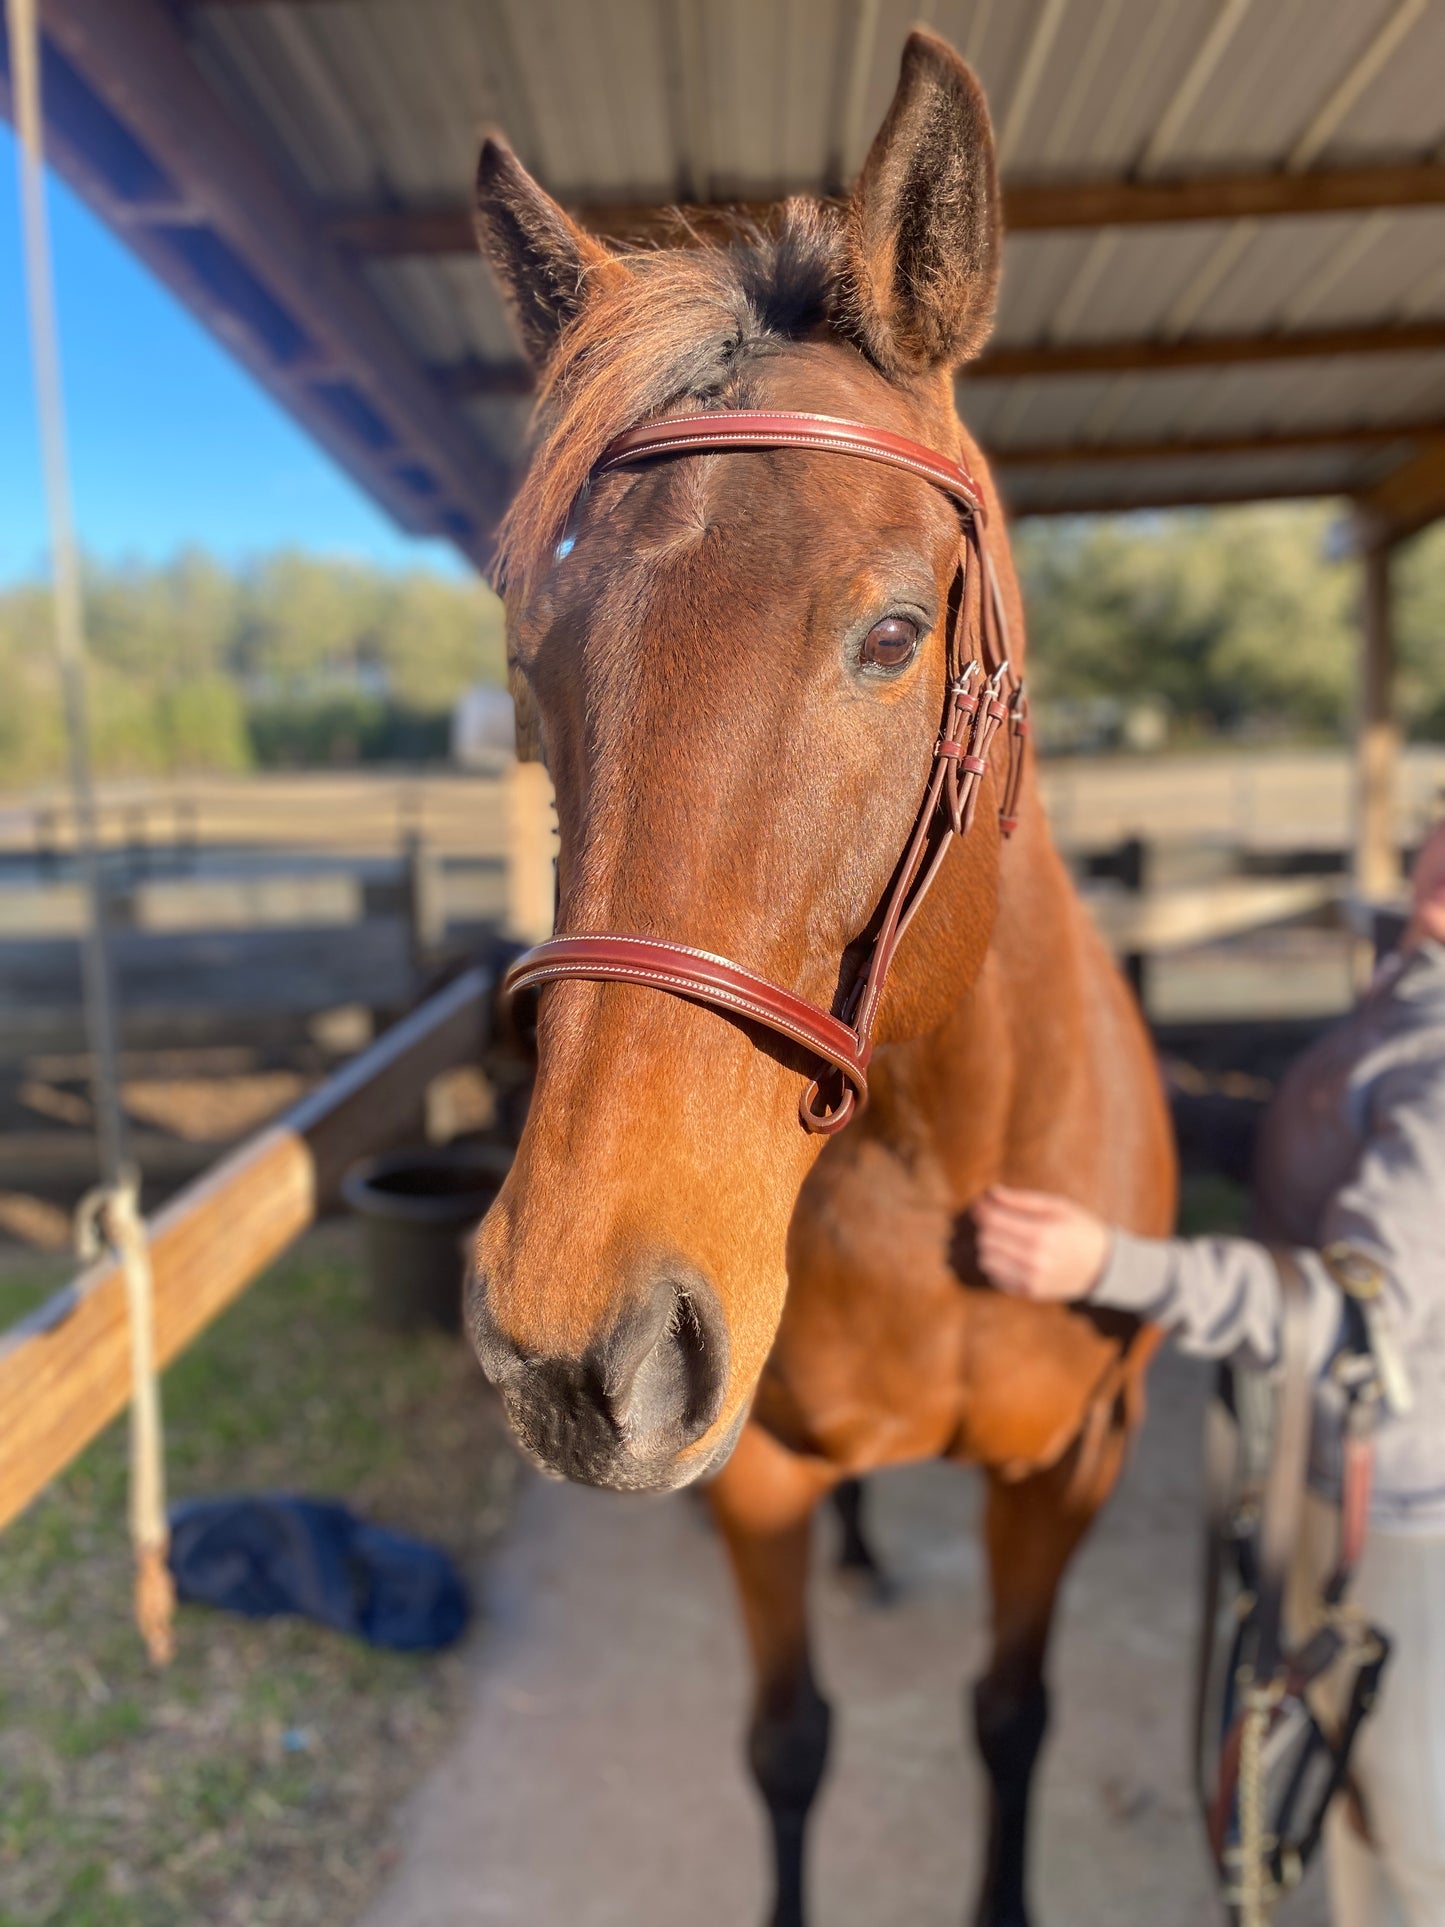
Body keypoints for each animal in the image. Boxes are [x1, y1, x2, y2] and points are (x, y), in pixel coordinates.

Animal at [472, 30, 1179, 1927]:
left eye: (892, 634)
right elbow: (789, 1743)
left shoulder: (1072, 1471)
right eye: (533, 665)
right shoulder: (763, 1479)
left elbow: (1011, 1714)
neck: (947, 1153)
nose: (570, 1342)